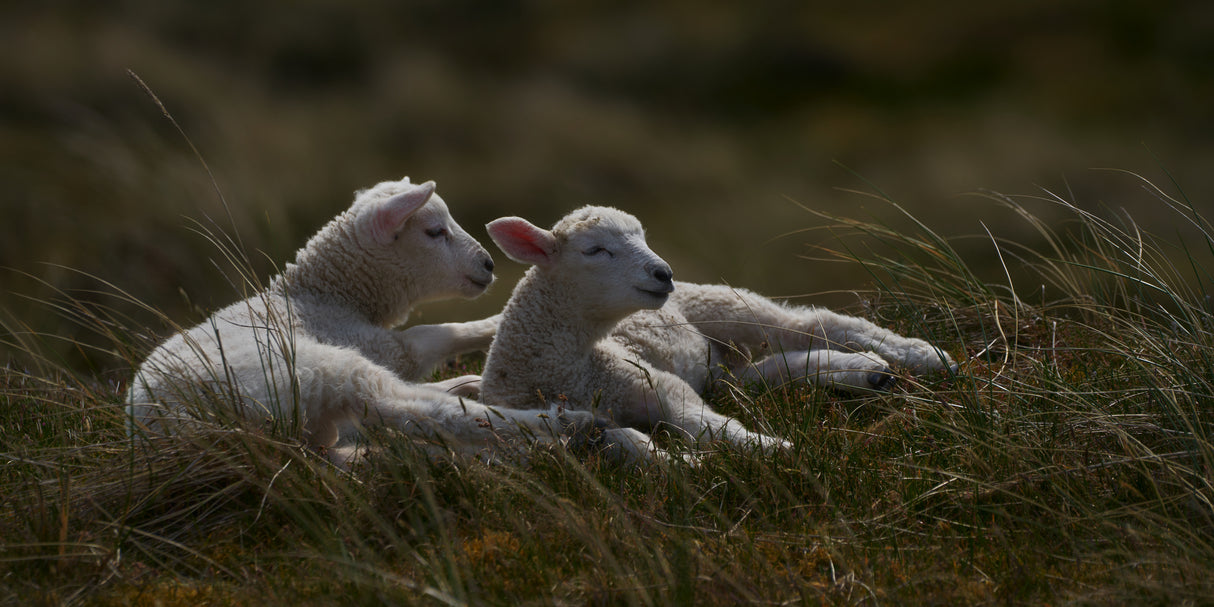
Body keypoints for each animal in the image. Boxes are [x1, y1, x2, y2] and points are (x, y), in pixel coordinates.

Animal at [127, 177, 592, 465]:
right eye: (434, 232)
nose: (489, 265)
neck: (322, 293)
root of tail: (164, 426)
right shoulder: (375, 344)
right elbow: (433, 335)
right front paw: (495, 323)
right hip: (319, 368)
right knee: (415, 410)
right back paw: (565, 421)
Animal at [480, 206, 793, 463]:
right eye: (595, 249)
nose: (664, 273)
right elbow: (632, 441)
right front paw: (685, 462)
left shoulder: (656, 382)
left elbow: (704, 422)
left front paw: (775, 447)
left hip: (727, 306)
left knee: (793, 324)